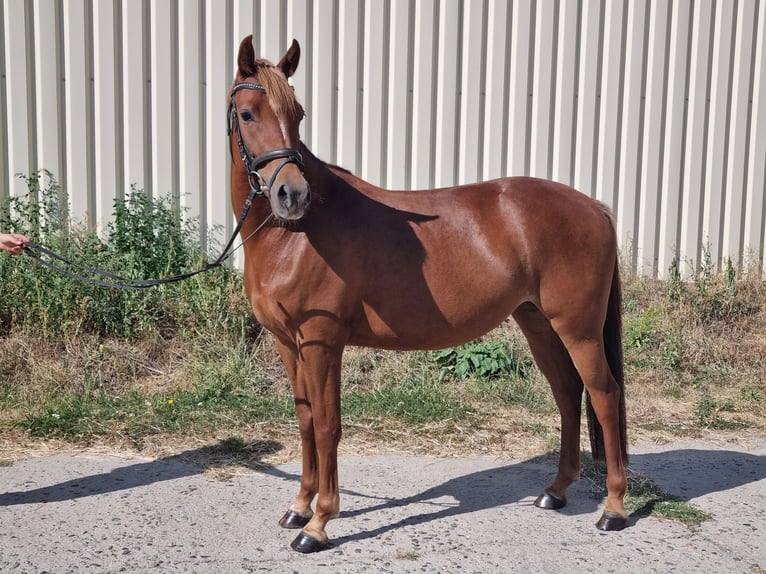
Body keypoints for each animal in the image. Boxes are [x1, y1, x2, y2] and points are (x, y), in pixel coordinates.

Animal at [228, 35, 632, 552]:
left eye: (297, 114)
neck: (295, 236)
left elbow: (326, 425)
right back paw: (556, 491)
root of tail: (594, 206)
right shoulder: (287, 342)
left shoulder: (322, 342)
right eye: (247, 114)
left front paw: (318, 524)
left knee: (603, 395)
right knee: (567, 392)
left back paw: (614, 509)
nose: (292, 195)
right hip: (538, 322)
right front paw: (299, 508)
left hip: (578, 328)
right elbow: (303, 422)